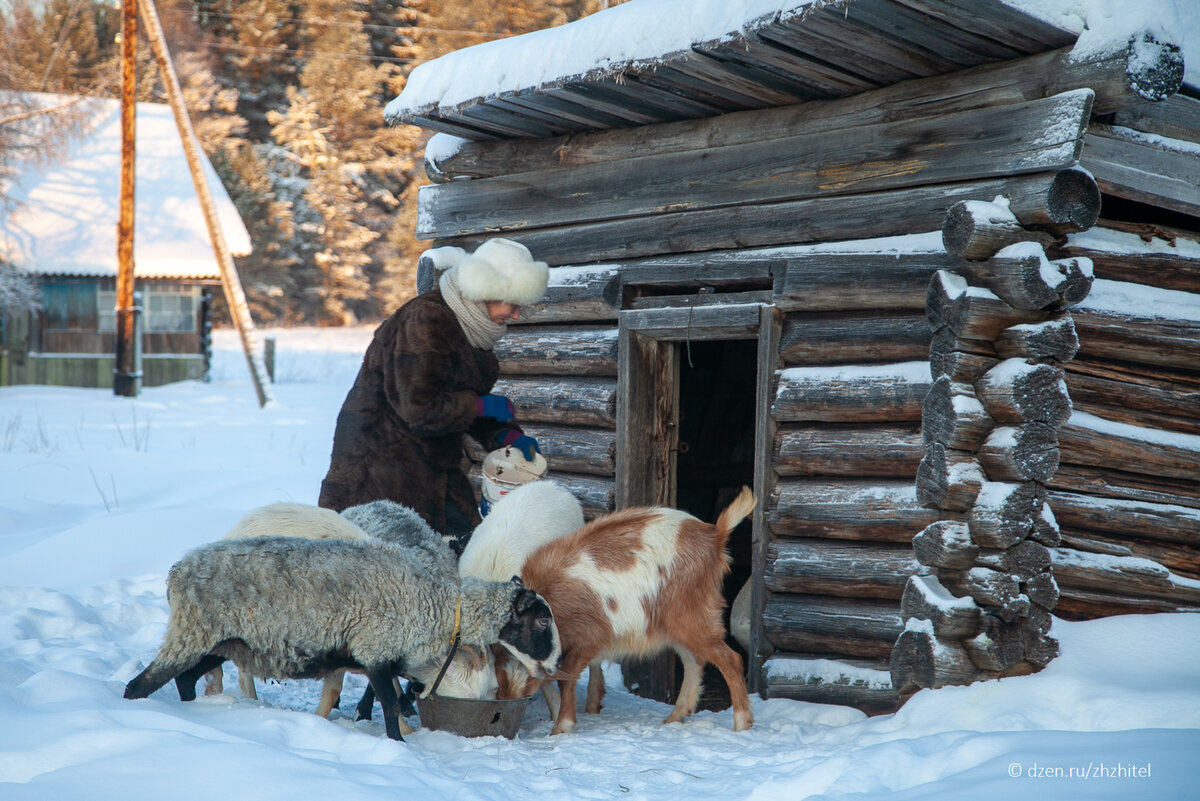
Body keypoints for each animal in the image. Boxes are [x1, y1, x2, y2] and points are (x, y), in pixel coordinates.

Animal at [121, 534, 561, 743]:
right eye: (542, 621)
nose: (557, 664)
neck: (437, 604)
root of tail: (177, 571)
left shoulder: (377, 656)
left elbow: (388, 699)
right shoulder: (376, 648)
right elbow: (388, 703)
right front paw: (398, 744)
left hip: (225, 642)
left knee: (184, 678)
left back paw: (194, 716)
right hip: (194, 630)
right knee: (142, 683)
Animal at [508, 484, 753, 733]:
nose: (513, 695)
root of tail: (715, 536)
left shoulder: (589, 637)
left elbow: (565, 680)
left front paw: (560, 728)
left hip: (691, 616)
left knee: (730, 659)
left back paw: (742, 724)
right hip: (674, 625)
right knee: (694, 661)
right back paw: (673, 718)